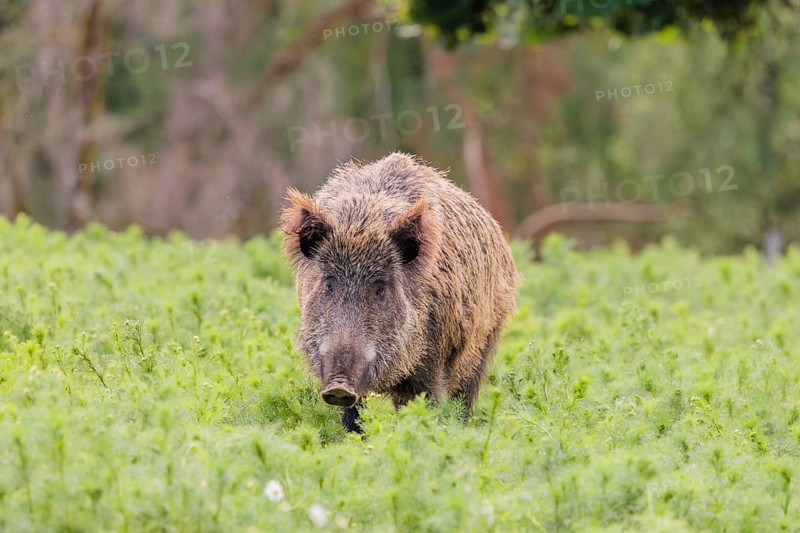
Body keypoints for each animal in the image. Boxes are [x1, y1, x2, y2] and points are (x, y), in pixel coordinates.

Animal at [280, 152, 518, 432]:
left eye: (380, 289)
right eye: (329, 285)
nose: (339, 387)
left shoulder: (432, 361)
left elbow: (428, 404)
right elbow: (354, 418)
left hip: (485, 342)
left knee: (464, 398)